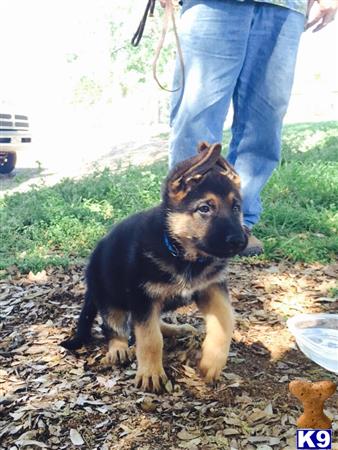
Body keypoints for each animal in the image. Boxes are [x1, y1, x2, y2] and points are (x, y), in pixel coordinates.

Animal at [61, 143, 246, 390]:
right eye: (205, 208)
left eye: (236, 207)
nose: (240, 241)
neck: (182, 255)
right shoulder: (143, 298)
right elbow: (149, 338)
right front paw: (151, 373)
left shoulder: (211, 288)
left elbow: (225, 322)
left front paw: (213, 361)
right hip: (110, 294)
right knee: (115, 326)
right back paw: (118, 348)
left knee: (145, 324)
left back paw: (176, 329)